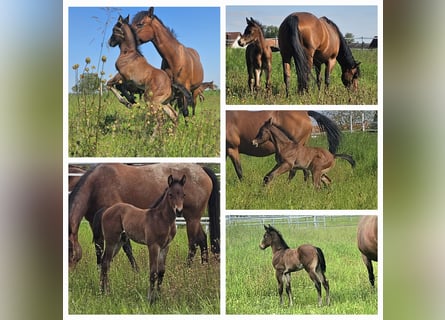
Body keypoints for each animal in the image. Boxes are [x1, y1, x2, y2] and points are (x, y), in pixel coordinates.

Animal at [68, 162, 219, 270]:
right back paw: (204, 267)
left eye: (69, 250)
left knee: (193, 243)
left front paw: (136, 270)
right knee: (202, 238)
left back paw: (187, 269)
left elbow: (127, 247)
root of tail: (201, 169)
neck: (97, 184)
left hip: (192, 219)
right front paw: (99, 268)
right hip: (194, 219)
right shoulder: (95, 222)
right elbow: (99, 245)